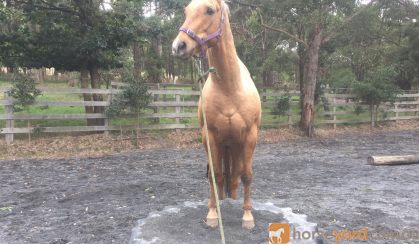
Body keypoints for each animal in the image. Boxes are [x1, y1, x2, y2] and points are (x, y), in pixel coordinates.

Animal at [172, 0, 260, 230]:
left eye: (210, 10)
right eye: (186, 11)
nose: (179, 46)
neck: (230, 87)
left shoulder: (250, 136)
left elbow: (247, 175)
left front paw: (248, 216)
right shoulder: (209, 136)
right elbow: (215, 175)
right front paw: (212, 214)